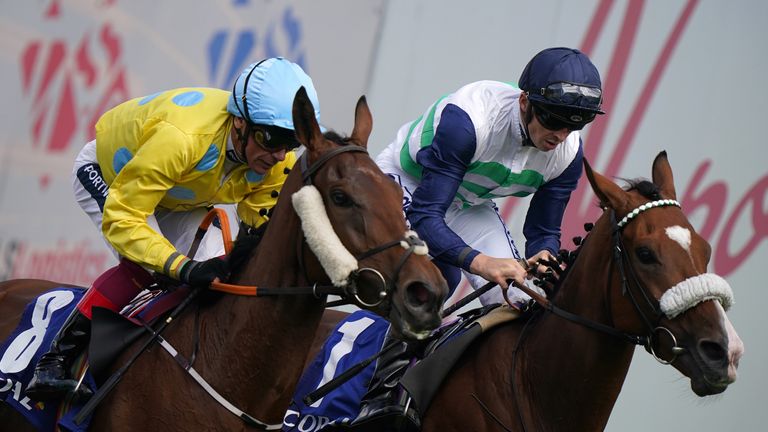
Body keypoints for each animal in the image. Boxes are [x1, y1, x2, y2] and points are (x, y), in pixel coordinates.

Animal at [0, 88, 448, 432]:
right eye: (341, 197)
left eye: (397, 194)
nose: (427, 292)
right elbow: (127, 218)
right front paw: (202, 272)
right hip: (94, 176)